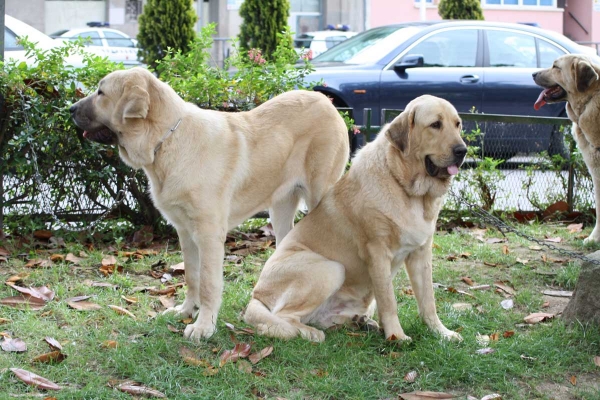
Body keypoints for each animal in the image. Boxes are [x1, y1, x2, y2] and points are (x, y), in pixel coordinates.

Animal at [69, 66, 350, 340]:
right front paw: (185, 311)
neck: (166, 141)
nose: (70, 109)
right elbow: (192, 276)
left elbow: (207, 283)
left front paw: (204, 326)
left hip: (319, 194)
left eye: (101, 93)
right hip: (280, 206)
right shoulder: (185, 231)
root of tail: (324, 100)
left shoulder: (209, 234)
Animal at [241, 95, 466, 342]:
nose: (462, 150)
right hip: (331, 268)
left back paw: (361, 323)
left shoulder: (421, 254)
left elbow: (428, 301)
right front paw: (396, 336)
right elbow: (389, 300)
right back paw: (312, 333)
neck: (409, 191)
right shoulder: (377, 251)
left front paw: (441, 332)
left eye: (457, 124)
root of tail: (256, 295)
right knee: (284, 317)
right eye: (435, 124)